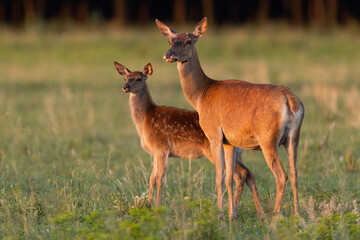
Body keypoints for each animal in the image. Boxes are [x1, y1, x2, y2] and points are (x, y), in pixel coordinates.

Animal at [114, 62, 262, 218]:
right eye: (125, 78)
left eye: (138, 78)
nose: (125, 87)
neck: (145, 119)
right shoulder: (155, 152)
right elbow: (151, 179)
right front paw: (148, 206)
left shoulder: (161, 148)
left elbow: (160, 179)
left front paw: (158, 208)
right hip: (237, 153)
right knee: (248, 173)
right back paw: (252, 213)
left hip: (213, 151)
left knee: (240, 174)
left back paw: (233, 213)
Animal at [155, 17, 304, 219]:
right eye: (171, 40)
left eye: (189, 40)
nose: (168, 54)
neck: (202, 95)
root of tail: (290, 100)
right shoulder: (230, 141)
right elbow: (229, 178)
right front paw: (232, 215)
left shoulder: (214, 134)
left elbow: (219, 176)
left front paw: (220, 214)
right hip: (293, 138)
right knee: (295, 173)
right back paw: (296, 214)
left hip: (268, 138)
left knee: (281, 175)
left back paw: (274, 215)